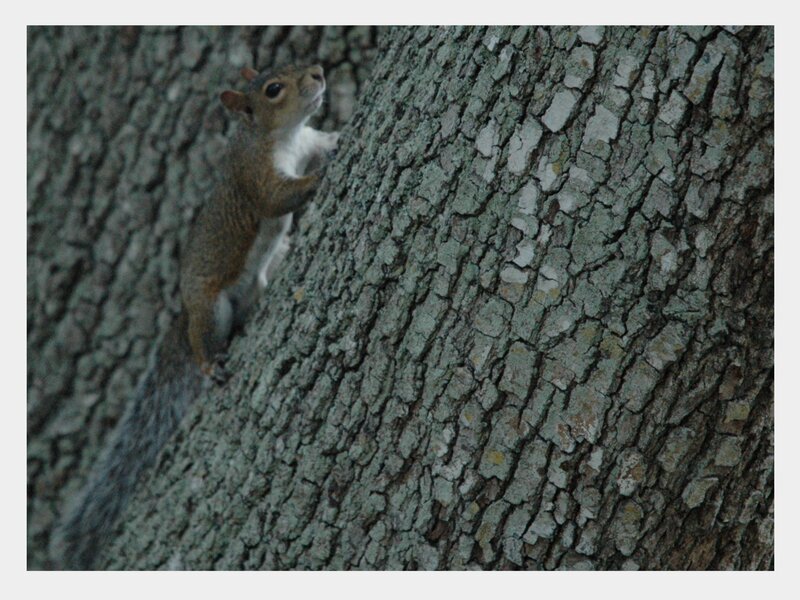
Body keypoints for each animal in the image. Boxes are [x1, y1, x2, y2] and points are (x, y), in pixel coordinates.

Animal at [50, 64, 340, 570]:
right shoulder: (254, 177)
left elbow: (323, 142)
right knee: (206, 337)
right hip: (210, 310)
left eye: (293, 65)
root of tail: (184, 312)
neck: (280, 135)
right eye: (273, 89)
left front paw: (341, 139)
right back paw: (209, 363)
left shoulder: (307, 140)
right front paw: (318, 178)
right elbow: (276, 198)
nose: (319, 73)